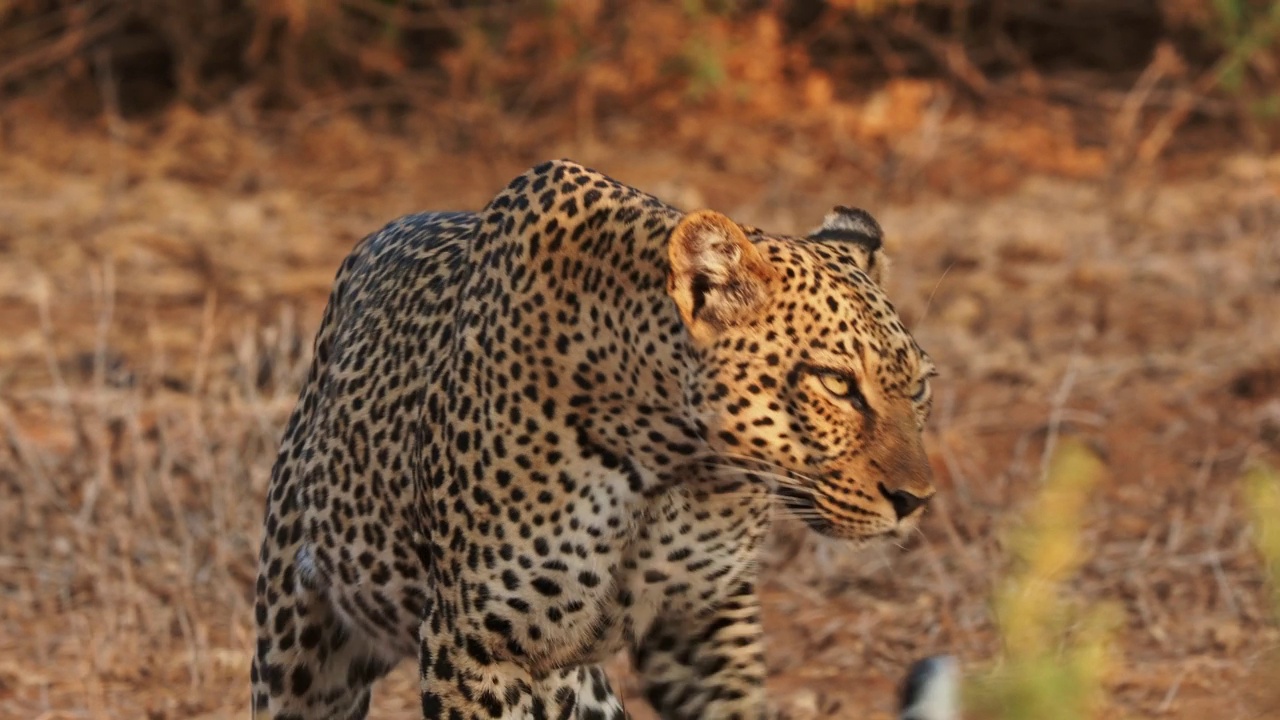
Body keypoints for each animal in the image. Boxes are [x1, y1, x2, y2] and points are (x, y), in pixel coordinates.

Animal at [252, 158, 942, 717]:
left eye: (920, 388)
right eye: (836, 383)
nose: (916, 502)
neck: (673, 462)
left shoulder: (705, 618)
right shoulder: (475, 644)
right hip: (298, 646)